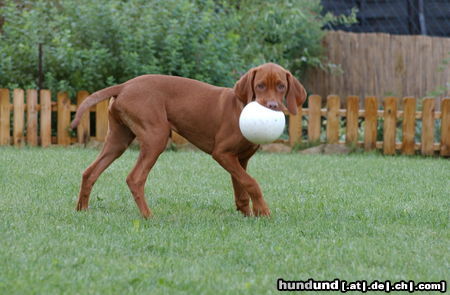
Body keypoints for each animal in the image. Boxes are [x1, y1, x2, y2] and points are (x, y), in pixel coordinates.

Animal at [70, 63, 308, 219]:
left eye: (281, 86)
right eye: (260, 86)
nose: (272, 106)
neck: (240, 107)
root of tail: (124, 85)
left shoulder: (241, 159)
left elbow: (241, 188)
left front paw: (248, 214)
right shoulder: (222, 153)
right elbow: (251, 182)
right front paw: (263, 211)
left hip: (118, 140)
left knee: (90, 172)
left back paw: (82, 210)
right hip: (156, 136)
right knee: (134, 178)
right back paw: (148, 216)